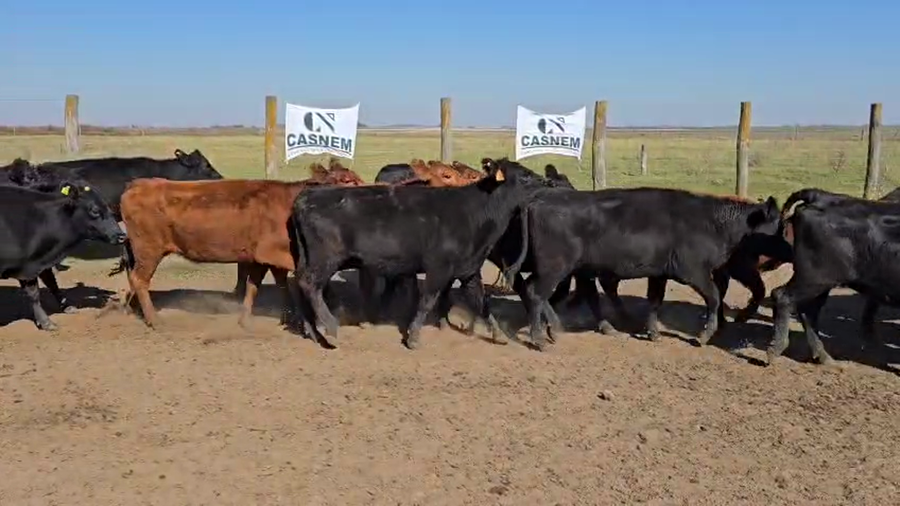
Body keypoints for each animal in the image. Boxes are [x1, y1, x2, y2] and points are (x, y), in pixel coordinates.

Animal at [0, 183, 125, 330]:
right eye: (94, 210)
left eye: (109, 208)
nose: (121, 236)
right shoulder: (28, 268)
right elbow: (34, 294)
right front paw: (46, 322)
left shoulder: (42, 261)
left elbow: (52, 283)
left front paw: (67, 306)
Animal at [117, 167, 364, 329]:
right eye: (348, 181)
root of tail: (140, 184)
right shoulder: (271, 254)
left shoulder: (265, 258)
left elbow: (267, 285)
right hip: (149, 250)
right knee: (140, 279)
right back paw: (154, 320)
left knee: (132, 277)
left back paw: (128, 309)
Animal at [290, 163, 530, 349]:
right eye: (526, 177)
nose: (541, 182)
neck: (472, 212)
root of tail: (306, 197)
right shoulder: (438, 268)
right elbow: (426, 301)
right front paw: (413, 337)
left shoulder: (469, 269)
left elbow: (482, 302)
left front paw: (498, 335)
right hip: (325, 260)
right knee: (310, 285)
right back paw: (330, 328)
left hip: (307, 259)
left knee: (300, 284)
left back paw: (314, 332)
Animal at [509, 187, 781, 350]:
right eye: (778, 225)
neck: (712, 223)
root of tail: (538, 199)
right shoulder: (694, 271)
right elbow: (714, 298)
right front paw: (704, 336)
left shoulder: (659, 273)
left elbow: (654, 301)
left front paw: (653, 333)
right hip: (555, 267)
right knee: (536, 293)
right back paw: (540, 339)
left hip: (567, 269)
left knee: (546, 292)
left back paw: (561, 330)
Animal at [766, 188, 900, 365]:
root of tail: (821, 196)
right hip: (814, 278)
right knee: (782, 296)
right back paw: (775, 349)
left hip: (821, 282)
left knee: (808, 311)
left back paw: (824, 356)